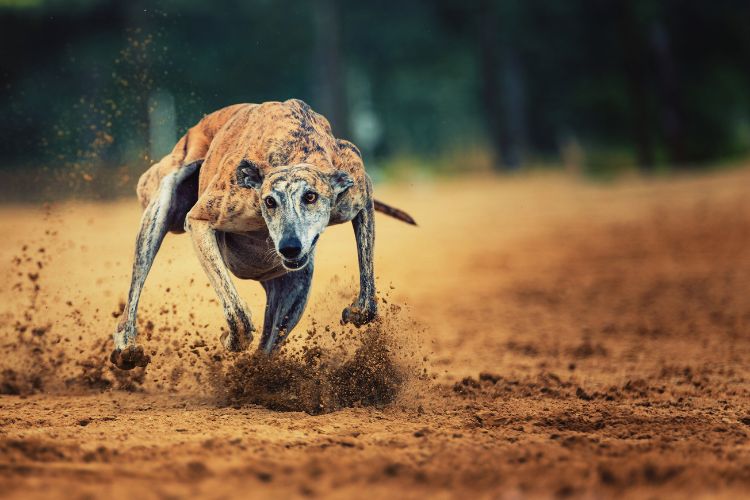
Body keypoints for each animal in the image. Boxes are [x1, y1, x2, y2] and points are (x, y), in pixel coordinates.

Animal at [110, 99, 418, 370]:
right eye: (269, 201)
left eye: (311, 196)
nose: (289, 248)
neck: (296, 151)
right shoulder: (201, 220)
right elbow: (238, 315)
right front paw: (230, 338)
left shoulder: (359, 197)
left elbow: (368, 297)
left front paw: (355, 311)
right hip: (159, 208)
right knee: (136, 288)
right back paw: (126, 347)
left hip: (293, 291)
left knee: (269, 343)